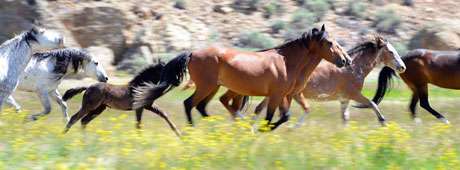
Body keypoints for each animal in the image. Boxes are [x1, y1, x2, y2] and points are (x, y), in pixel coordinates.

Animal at [134, 24, 352, 130]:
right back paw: (194, 130)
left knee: (202, 107)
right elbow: (271, 117)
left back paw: (218, 127)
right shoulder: (276, 95)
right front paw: (260, 130)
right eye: (330, 43)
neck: (287, 63)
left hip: (213, 87)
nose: (346, 60)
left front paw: (259, 129)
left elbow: (284, 116)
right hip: (206, 86)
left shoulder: (285, 95)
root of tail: (193, 53)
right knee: (189, 104)